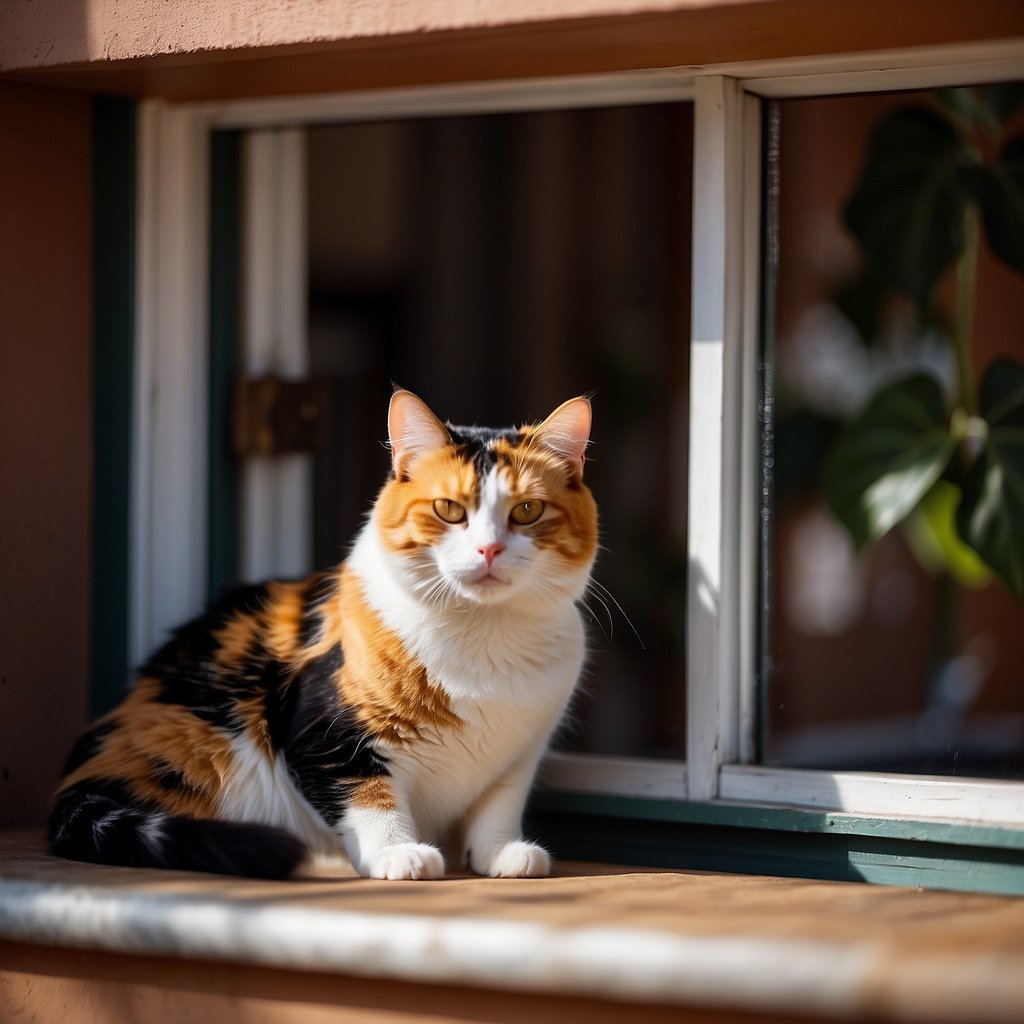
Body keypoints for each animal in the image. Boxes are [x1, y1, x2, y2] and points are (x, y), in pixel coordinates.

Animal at [51, 391, 598, 880]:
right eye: (448, 509)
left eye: (526, 511)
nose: (488, 550)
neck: (485, 636)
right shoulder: (325, 733)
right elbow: (368, 795)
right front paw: (398, 855)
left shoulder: (519, 756)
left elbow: (497, 806)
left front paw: (503, 853)